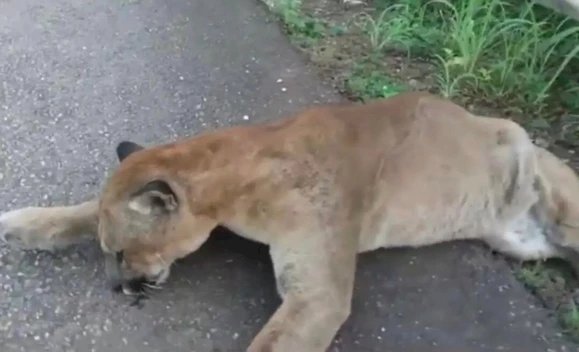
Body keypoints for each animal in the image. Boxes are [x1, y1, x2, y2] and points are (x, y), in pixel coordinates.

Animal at [1, 92, 579, 350]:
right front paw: (23, 223)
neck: (240, 173)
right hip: (518, 243)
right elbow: (84, 208)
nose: (116, 288)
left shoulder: (317, 294)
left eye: (122, 254)